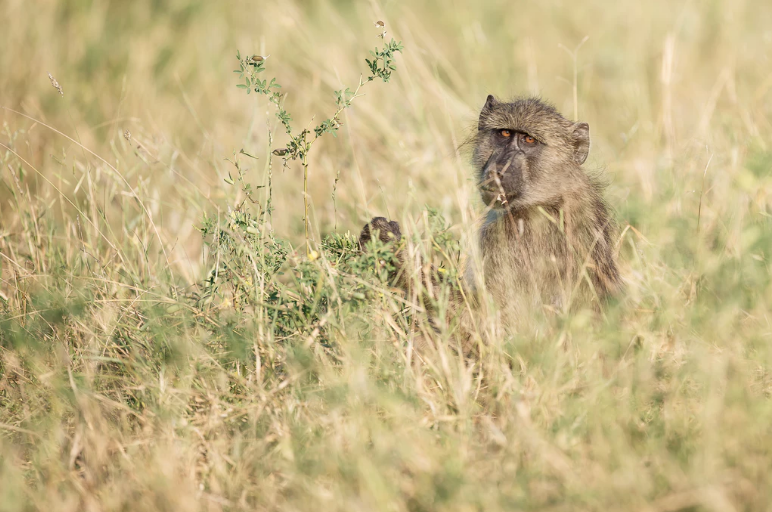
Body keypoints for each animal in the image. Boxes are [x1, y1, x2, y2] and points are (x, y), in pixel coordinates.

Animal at [359, 95, 621, 327]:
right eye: (504, 134)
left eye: (529, 140)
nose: (499, 168)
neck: (550, 194)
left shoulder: (512, 236)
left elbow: (494, 321)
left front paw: (387, 242)